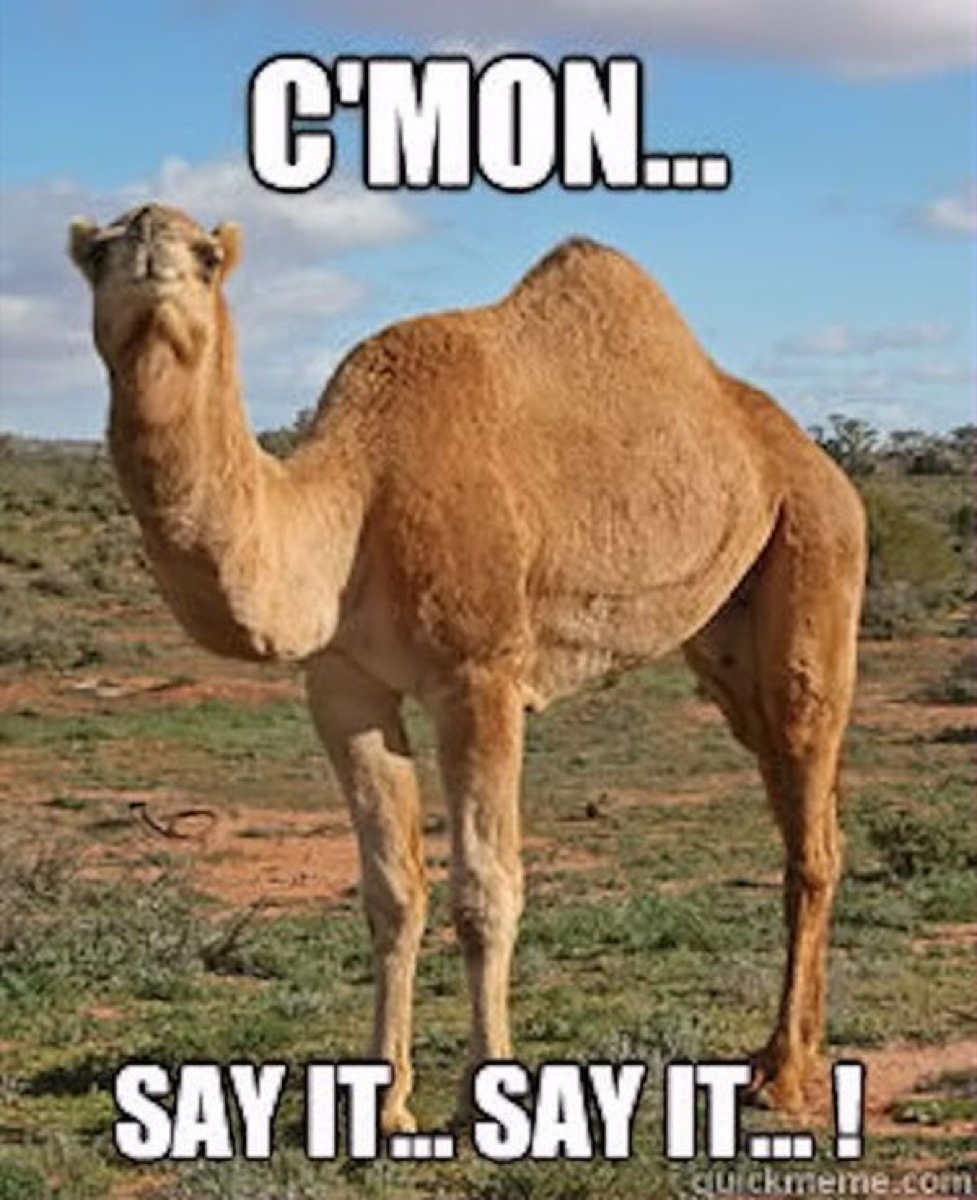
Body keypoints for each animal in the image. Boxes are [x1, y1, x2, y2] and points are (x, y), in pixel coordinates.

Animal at [69, 203, 866, 1134]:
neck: (355, 501)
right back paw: (782, 1056)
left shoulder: (479, 675)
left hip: (817, 549)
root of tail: (816, 461)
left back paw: (786, 1075)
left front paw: (487, 1094)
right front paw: (384, 1106)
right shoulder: (342, 685)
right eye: (99, 254)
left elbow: (485, 891)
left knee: (810, 822)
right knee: (791, 795)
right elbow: (391, 891)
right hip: (728, 635)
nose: (152, 253)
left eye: (204, 256)